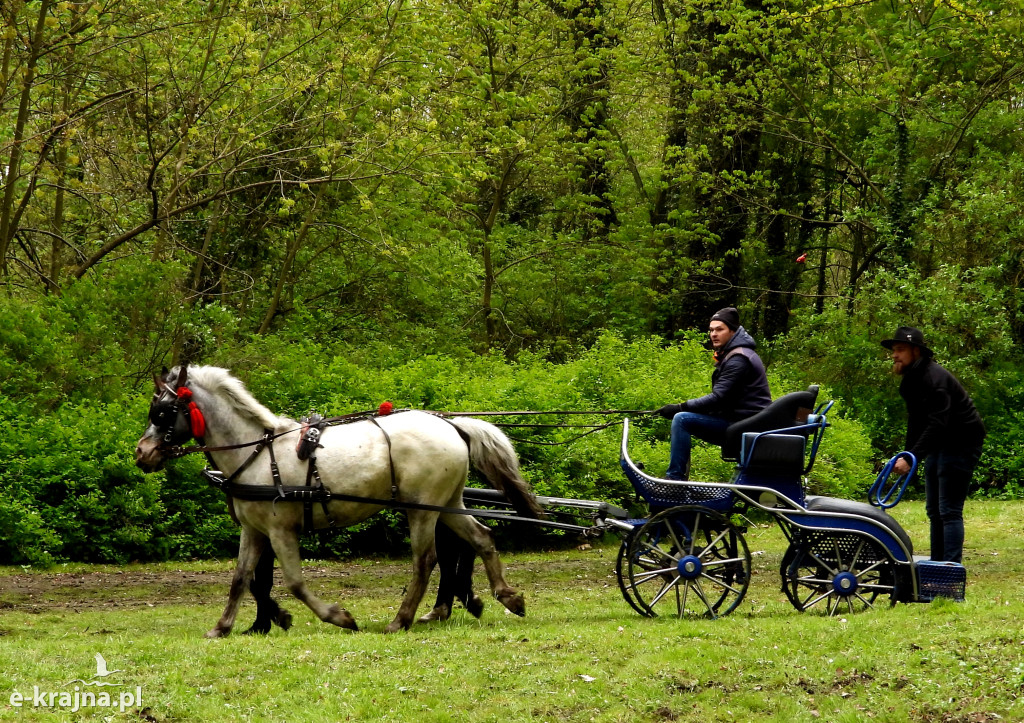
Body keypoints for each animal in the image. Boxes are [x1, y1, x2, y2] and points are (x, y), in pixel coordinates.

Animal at [134, 362, 544, 634]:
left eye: (164, 411)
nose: (142, 452)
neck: (257, 452)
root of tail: (451, 424)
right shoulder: (253, 530)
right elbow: (241, 578)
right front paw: (222, 626)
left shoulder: (281, 530)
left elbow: (295, 582)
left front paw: (339, 617)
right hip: (447, 503)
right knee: (481, 537)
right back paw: (507, 596)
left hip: (421, 510)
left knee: (425, 560)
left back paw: (401, 619)